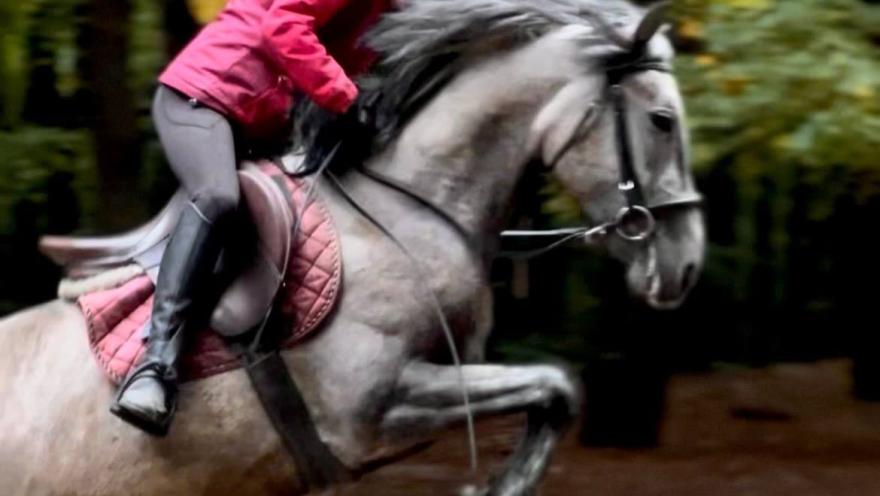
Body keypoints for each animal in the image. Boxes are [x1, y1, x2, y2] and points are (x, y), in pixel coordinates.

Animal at [0, 1, 705, 494]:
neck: (408, 207)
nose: (688, 264)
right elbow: (555, 385)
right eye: (662, 121)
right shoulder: (371, 410)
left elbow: (558, 390)